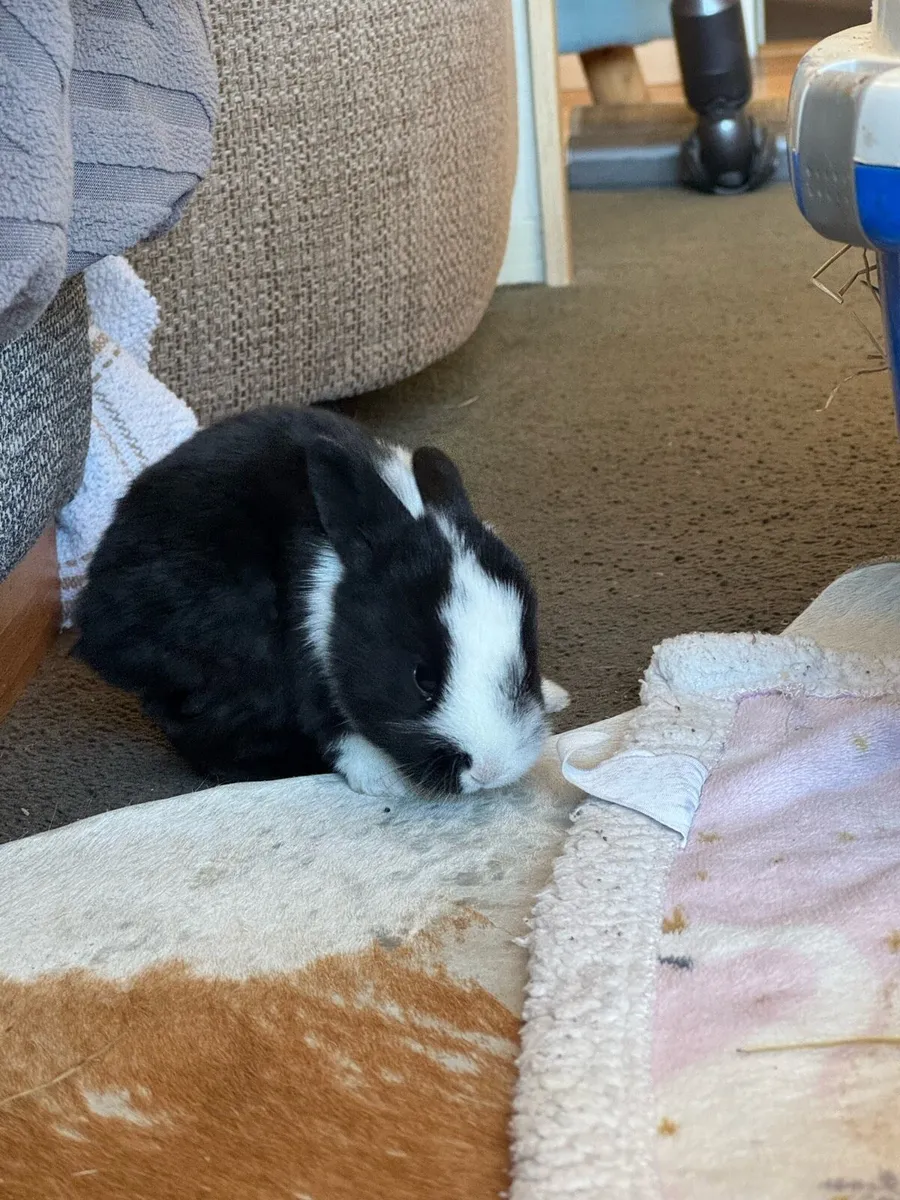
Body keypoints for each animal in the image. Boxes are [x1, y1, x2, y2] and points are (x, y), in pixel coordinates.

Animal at [74, 406, 569, 797]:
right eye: (421, 680)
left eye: (527, 664)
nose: (490, 770)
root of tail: (92, 621)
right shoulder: (305, 648)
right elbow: (326, 720)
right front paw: (382, 779)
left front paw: (554, 695)